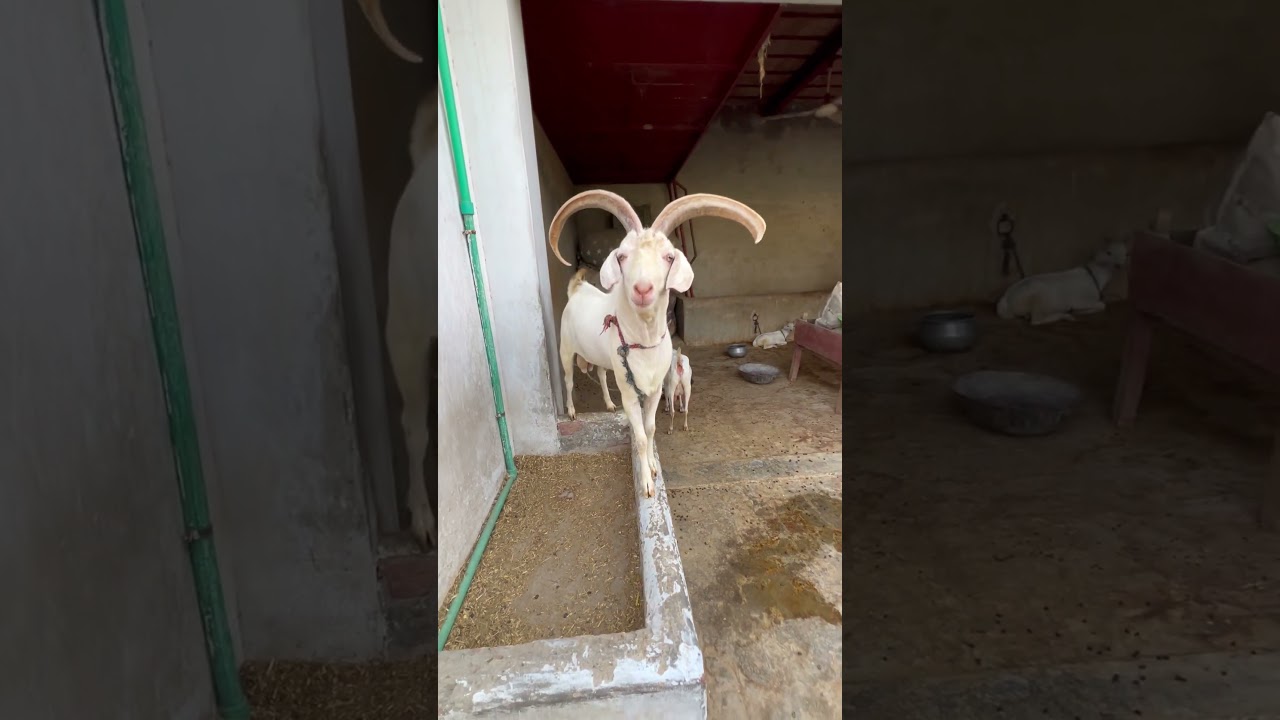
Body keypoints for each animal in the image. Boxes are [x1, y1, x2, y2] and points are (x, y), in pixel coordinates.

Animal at [549, 190, 765, 497]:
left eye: (668, 256)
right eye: (622, 255)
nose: (642, 288)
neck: (644, 343)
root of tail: (578, 290)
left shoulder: (653, 389)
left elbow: (650, 429)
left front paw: (652, 466)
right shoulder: (630, 391)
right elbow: (639, 436)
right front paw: (647, 484)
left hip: (605, 357)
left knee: (601, 374)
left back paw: (608, 403)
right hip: (566, 348)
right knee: (568, 379)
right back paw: (570, 411)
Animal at [996, 238, 1129, 326]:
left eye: (1126, 253)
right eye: (1109, 252)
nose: (1120, 265)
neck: (1096, 276)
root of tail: (1006, 300)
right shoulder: (1081, 300)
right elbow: (1102, 305)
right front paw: (1080, 311)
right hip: (1037, 298)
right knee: (1036, 320)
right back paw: (1065, 315)